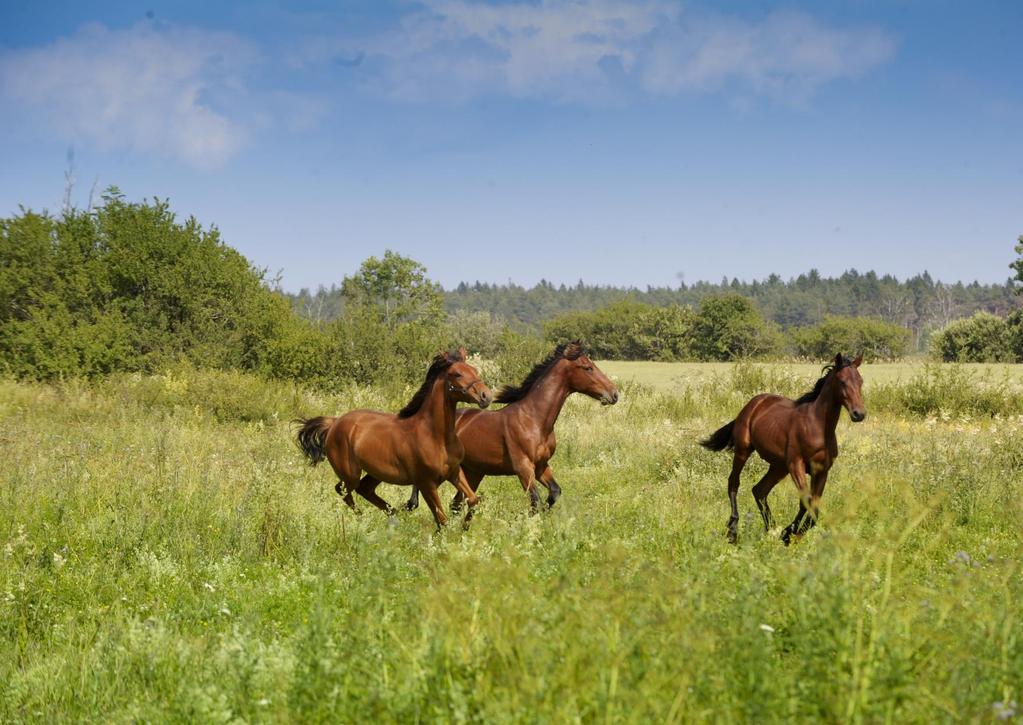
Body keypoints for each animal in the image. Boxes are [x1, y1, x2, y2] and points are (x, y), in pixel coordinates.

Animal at [294, 349, 493, 527]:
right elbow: (442, 520)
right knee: (344, 492)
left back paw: (395, 516)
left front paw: (464, 528)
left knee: (364, 489)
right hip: (350, 473)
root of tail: (334, 422)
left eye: (474, 370)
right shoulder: (427, 484)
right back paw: (364, 519)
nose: (486, 396)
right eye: (457, 374)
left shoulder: (454, 473)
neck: (436, 436)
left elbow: (473, 500)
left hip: (376, 472)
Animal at [403, 341, 617, 515]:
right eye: (588, 368)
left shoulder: (541, 466)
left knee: (456, 504)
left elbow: (554, 493)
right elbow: (536, 501)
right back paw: (411, 505)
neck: (534, 420)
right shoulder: (523, 468)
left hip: (473, 472)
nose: (614, 394)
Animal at [695, 353, 863, 544]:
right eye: (842, 381)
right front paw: (788, 533)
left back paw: (771, 531)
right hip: (744, 451)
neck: (818, 427)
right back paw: (733, 531)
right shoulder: (796, 465)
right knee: (734, 482)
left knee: (759, 490)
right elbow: (806, 500)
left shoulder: (822, 470)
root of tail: (753, 403)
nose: (859, 414)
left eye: (860, 381)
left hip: (778, 466)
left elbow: (814, 509)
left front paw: (788, 534)